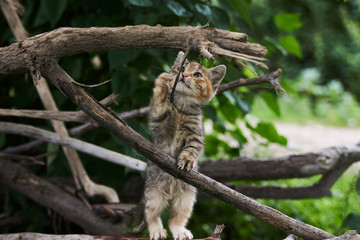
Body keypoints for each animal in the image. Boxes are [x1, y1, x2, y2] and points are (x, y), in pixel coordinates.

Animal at [144, 51, 225, 239]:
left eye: (197, 75)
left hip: (186, 198)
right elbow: (159, 106)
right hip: (154, 194)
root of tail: (170, 193)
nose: (184, 75)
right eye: (181, 68)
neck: (181, 106)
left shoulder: (196, 136)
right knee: (152, 215)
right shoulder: (159, 124)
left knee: (175, 219)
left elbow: (192, 149)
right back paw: (157, 231)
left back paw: (181, 231)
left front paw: (187, 160)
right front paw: (162, 85)